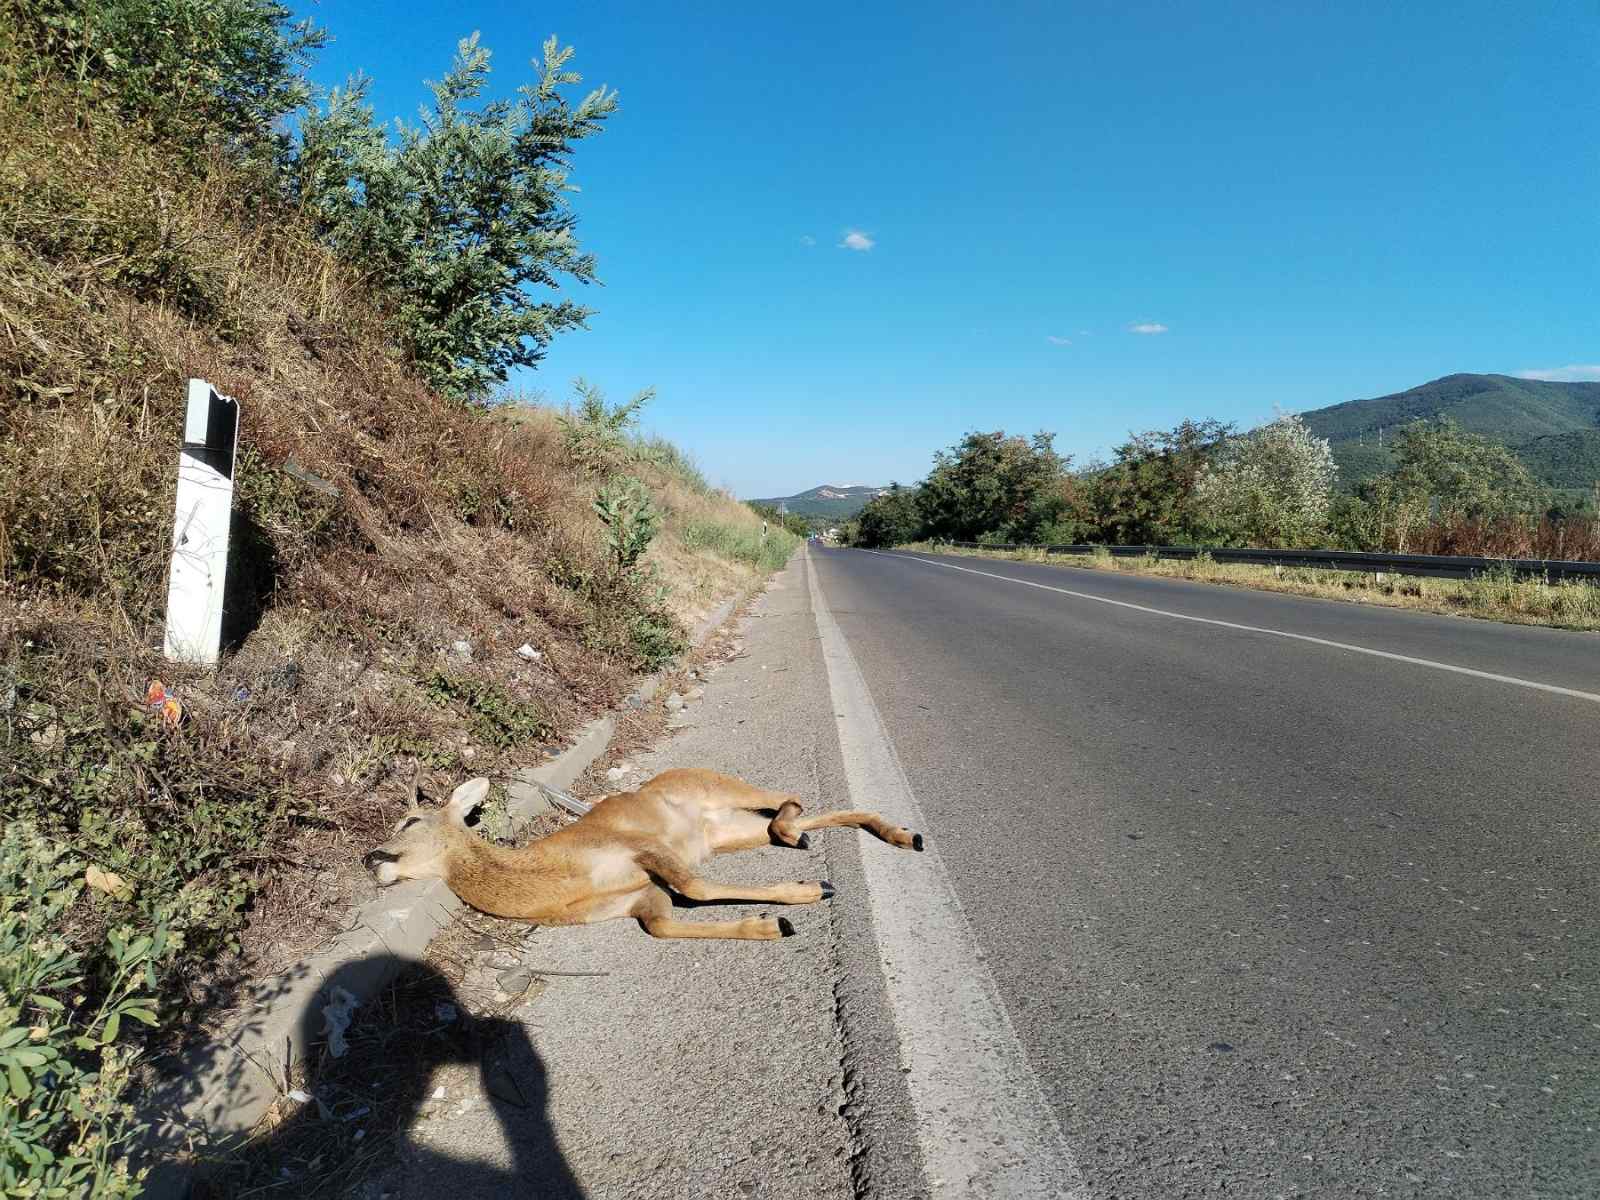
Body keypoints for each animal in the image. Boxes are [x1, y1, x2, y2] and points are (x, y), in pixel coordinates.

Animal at [356, 771, 921, 940]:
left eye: (410, 821)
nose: (369, 857)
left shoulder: (638, 846)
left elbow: (694, 886)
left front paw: (806, 893)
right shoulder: (636, 899)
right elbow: (663, 926)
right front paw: (768, 925)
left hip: (716, 785)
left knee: (785, 797)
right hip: (730, 830)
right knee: (791, 820)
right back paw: (897, 833)